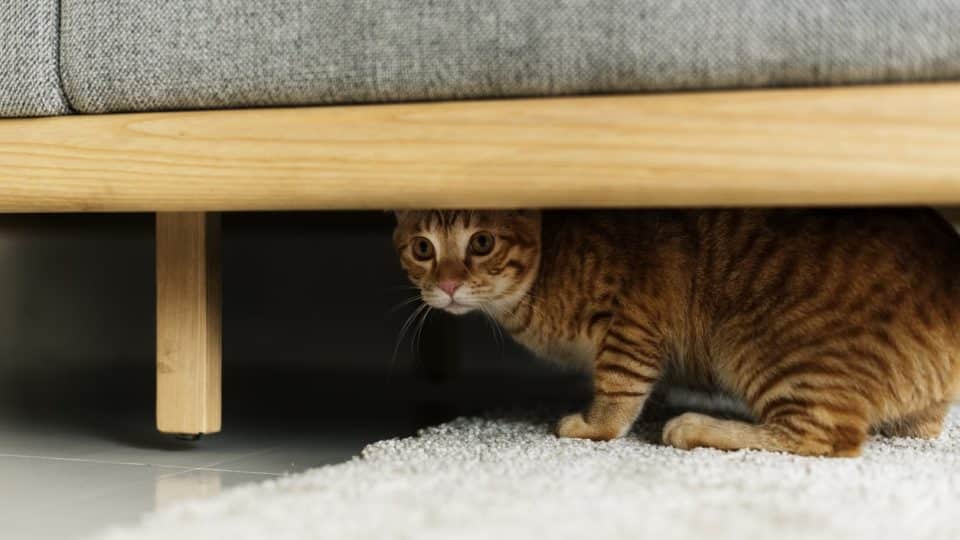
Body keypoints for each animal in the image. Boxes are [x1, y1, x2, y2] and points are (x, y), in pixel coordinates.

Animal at [392, 208, 960, 456]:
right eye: (422, 248)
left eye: (481, 241)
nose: (447, 284)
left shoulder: (633, 318)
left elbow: (617, 387)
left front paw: (595, 425)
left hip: (758, 344)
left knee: (823, 437)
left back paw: (698, 427)